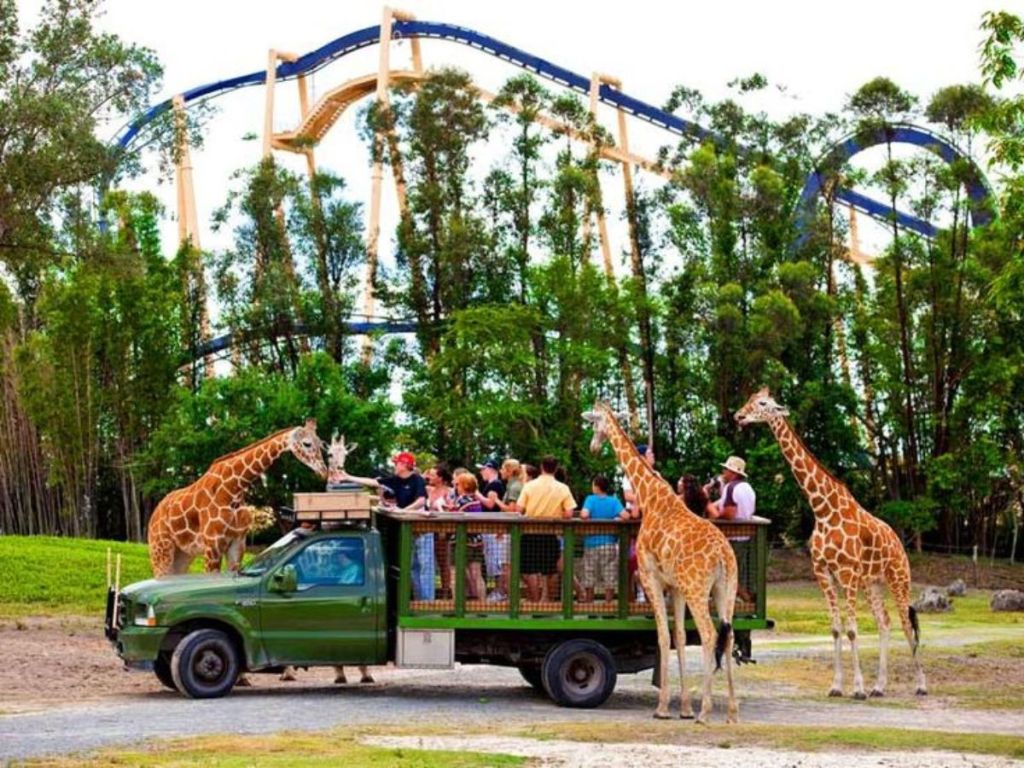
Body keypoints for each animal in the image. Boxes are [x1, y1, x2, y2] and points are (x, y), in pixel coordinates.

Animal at [148, 421, 327, 577]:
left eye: (320, 444)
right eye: (306, 443)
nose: (324, 471)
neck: (233, 491)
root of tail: (153, 517)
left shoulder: (238, 543)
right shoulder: (212, 545)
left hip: (183, 554)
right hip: (161, 550)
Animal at [278, 434, 374, 684]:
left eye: (346, 454)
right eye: (329, 453)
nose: (339, 471)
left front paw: (366, 672)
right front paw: (339, 673)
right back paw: (287, 672)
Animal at [585, 403, 737, 729]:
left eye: (593, 422)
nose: (593, 446)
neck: (650, 497)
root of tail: (722, 555)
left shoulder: (651, 577)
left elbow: (663, 636)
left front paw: (664, 708)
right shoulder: (676, 587)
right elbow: (678, 636)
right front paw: (685, 708)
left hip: (698, 590)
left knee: (709, 635)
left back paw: (706, 712)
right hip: (725, 589)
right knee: (727, 636)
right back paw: (732, 712)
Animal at [737, 387, 929, 700]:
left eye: (763, 403)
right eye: (750, 399)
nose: (739, 416)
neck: (823, 509)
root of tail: (899, 543)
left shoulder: (847, 573)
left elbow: (852, 629)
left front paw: (858, 689)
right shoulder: (823, 572)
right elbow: (837, 629)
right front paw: (838, 686)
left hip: (899, 578)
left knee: (906, 623)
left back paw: (921, 685)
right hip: (872, 583)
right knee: (884, 622)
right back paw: (879, 687)